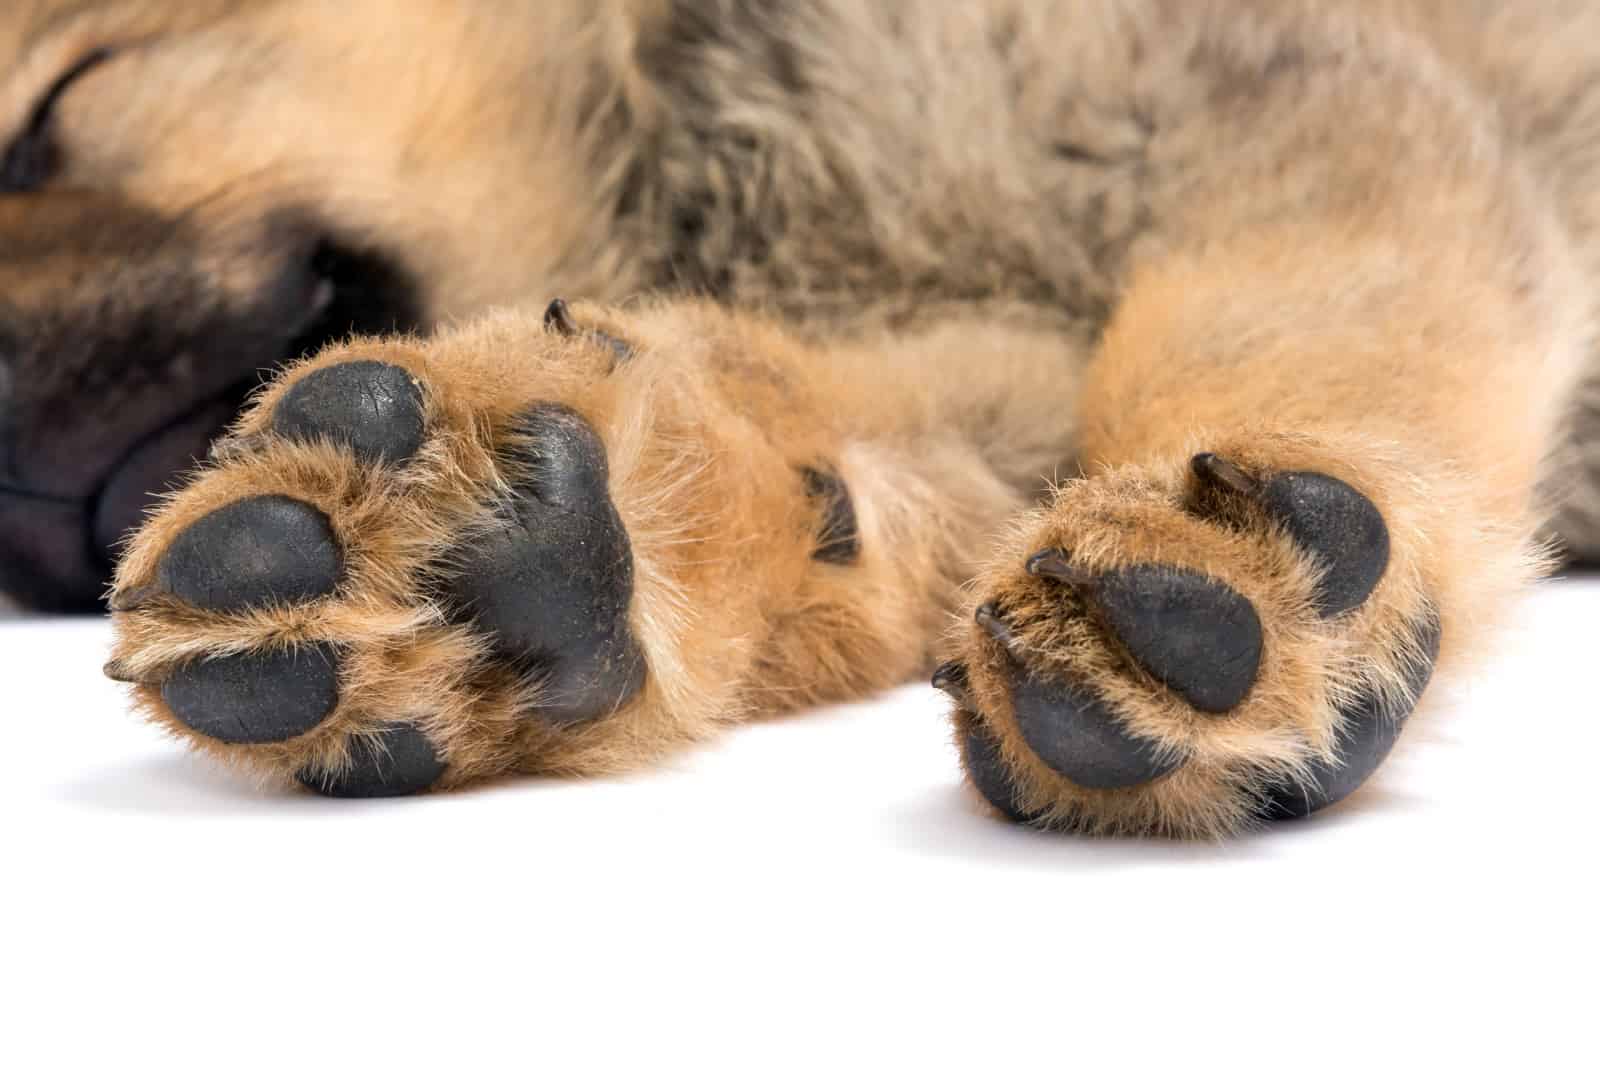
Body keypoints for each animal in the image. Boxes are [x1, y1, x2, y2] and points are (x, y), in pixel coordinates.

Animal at [9, 0, 1600, 831]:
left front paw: (1240, 559)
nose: (7, 443)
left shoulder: (1282, 128)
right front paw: (556, 562)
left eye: (45, 121)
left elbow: (1289, 335)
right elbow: (851, 447)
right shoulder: (983, 355)